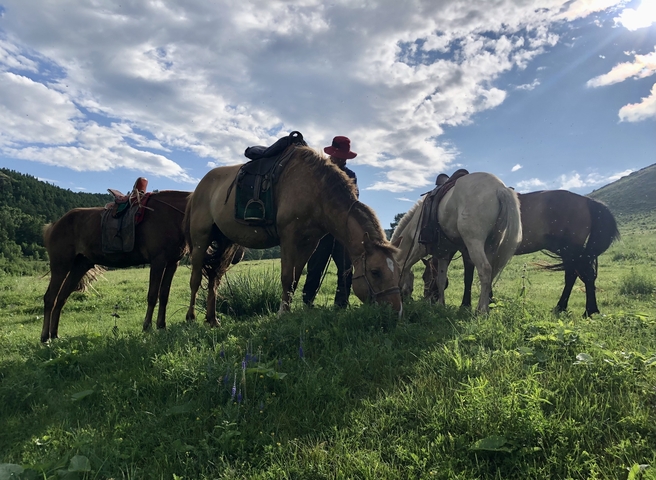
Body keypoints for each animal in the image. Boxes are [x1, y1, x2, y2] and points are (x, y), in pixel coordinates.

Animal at [41, 190, 191, 342]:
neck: (169, 215)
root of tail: (55, 224)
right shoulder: (158, 261)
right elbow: (153, 295)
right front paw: (147, 327)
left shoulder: (172, 263)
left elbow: (164, 295)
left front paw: (161, 326)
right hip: (61, 266)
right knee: (50, 298)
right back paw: (45, 337)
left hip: (79, 267)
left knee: (61, 298)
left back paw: (54, 335)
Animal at [184, 145, 402, 326]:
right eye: (375, 272)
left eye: (398, 271)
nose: (397, 312)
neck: (315, 191)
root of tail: (198, 188)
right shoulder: (289, 239)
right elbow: (287, 277)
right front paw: (282, 313)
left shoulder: (309, 243)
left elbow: (296, 278)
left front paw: (289, 310)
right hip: (200, 239)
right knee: (195, 278)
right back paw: (191, 318)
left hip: (225, 243)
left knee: (214, 279)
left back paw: (213, 319)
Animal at [392, 172, 522, 313]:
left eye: (424, 277)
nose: (426, 299)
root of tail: (499, 188)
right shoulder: (444, 253)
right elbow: (441, 279)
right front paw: (441, 305)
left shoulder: (419, 249)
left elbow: (405, 266)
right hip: (491, 246)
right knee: (491, 274)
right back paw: (483, 307)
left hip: (474, 243)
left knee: (485, 270)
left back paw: (482, 311)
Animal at [422, 190, 620, 316]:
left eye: (426, 277)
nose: (427, 299)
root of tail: (587, 201)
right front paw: (490, 301)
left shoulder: (469, 250)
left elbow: (469, 278)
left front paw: (466, 304)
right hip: (568, 253)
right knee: (572, 275)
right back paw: (561, 307)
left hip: (571, 250)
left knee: (585, 275)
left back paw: (590, 310)